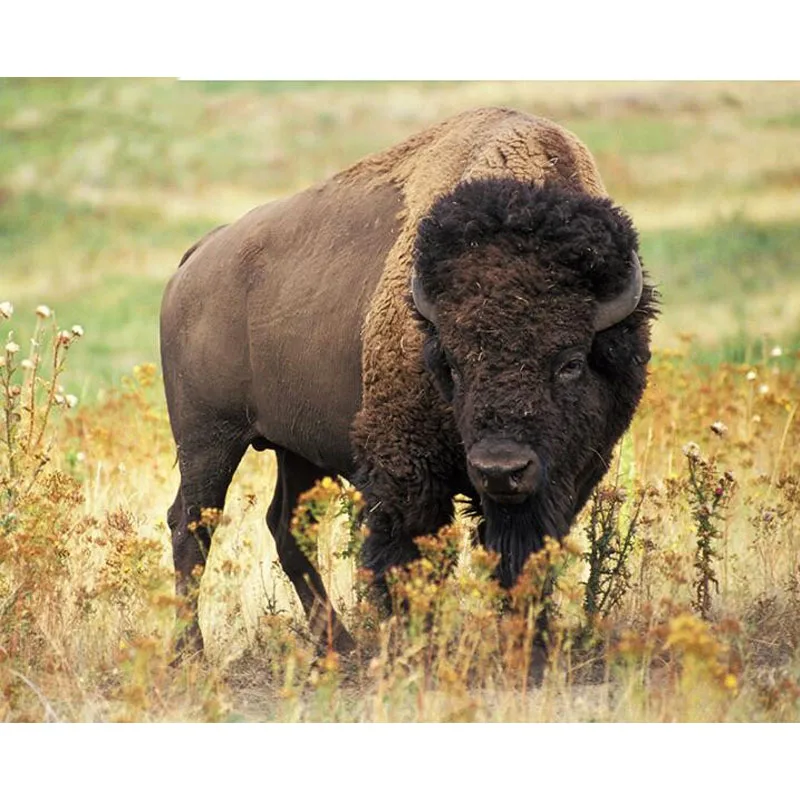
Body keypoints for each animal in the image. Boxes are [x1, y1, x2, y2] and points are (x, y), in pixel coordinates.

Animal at [160, 106, 657, 655]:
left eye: (570, 361)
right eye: (453, 364)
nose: (500, 469)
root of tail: (199, 256)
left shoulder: (568, 476)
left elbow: (524, 557)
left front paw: (530, 643)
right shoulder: (406, 472)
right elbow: (408, 558)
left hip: (295, 448)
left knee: (285, 527)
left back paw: (340, 646)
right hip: (208, 439)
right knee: (191, 525)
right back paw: (191, 651)